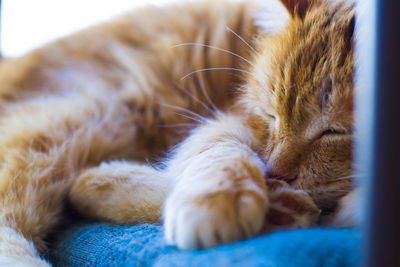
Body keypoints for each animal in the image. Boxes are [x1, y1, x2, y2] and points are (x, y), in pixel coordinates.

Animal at [0, 0, 356, 266]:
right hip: (88, 119)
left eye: (334, 131)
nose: (277, 172)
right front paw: (218, 197)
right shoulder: (232, 121)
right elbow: (217, 151)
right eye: (271, 114)